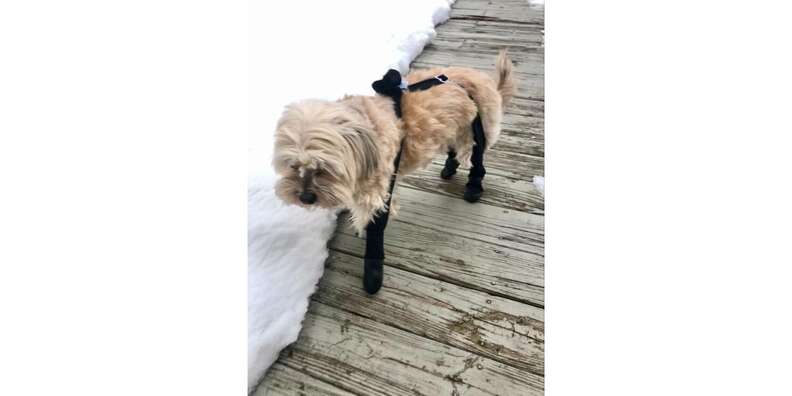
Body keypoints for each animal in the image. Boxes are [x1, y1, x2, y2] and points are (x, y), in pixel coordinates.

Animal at [274, 49, 520, 294]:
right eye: (292, 165)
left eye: (325, 168)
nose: (305, 197)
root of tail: (486, 80)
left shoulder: (377, 192)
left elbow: (375, 228)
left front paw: (371, 266)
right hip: (454, 128)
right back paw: (449, 169)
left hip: (475, 131)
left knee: (476, 158)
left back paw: (474, 185)